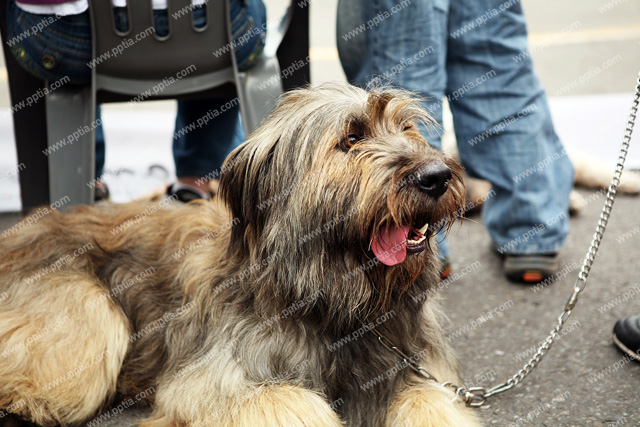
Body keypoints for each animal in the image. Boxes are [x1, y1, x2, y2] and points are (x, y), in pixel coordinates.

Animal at [0, 84, 480, 427]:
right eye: (351, 138)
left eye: (408, 129)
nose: (437, 175)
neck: (332, 302)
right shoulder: (215, 381)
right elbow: (291, 402)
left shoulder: (417, 368)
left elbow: (429, 400)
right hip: (88, 317)